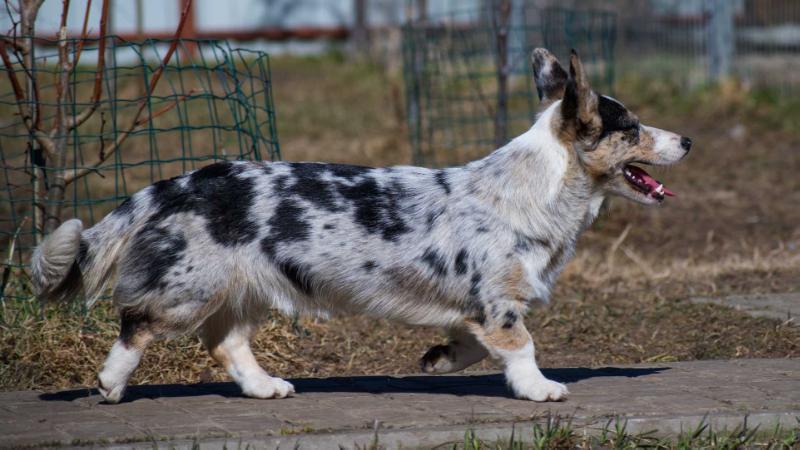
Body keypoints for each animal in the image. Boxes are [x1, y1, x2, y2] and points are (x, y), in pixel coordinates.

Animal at [31, 47, 692, 402]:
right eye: (631, 127)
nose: (687, 140)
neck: (536, 188)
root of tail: (180, 182)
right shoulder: (500, 302)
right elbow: (522, 347)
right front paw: (541, 389)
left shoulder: (476, 308)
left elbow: (469, 347)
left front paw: (437, 361)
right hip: (188, 290)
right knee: (136, 325)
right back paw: (110, 383)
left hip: (245, 291)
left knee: (228, 344)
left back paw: (267, 387)